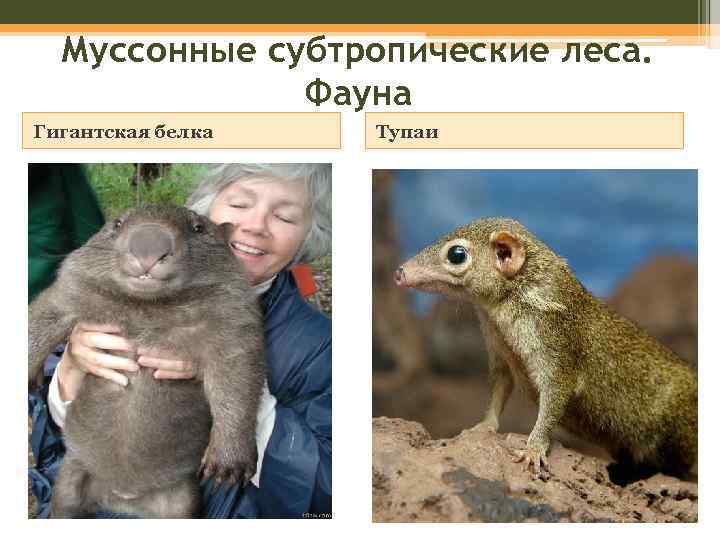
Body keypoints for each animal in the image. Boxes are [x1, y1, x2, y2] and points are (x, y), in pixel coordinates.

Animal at [395, 217, 697, 479]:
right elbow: (499, 389)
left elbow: (553, 400)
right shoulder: (499, 352)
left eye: (456, 254)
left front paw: (533, 449)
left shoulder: (556, 348)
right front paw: (483, 426)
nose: (399, 272)